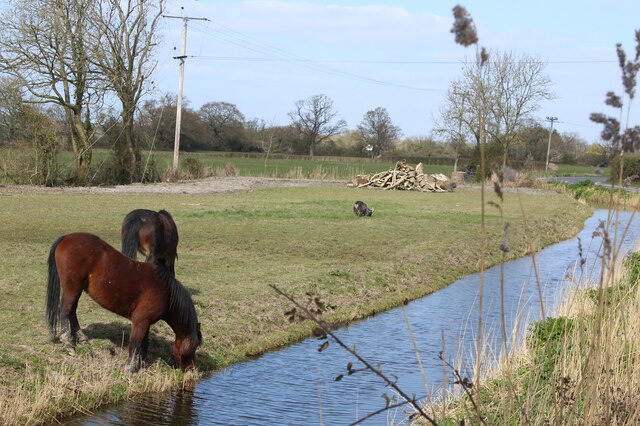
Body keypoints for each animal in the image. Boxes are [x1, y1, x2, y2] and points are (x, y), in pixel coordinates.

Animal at [46, 231, 201, 372]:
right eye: (195, 346)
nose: (192, 369)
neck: (166, 291)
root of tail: (67, 237)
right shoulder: (140, 320)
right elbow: (135, 343)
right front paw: (129, 367)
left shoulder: (146, 322)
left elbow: (144, 343)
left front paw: (142, 363)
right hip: (72, 287)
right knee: (65, 310)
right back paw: (68, 343)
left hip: (77, 289)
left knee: (72, 311)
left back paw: (81, 337)